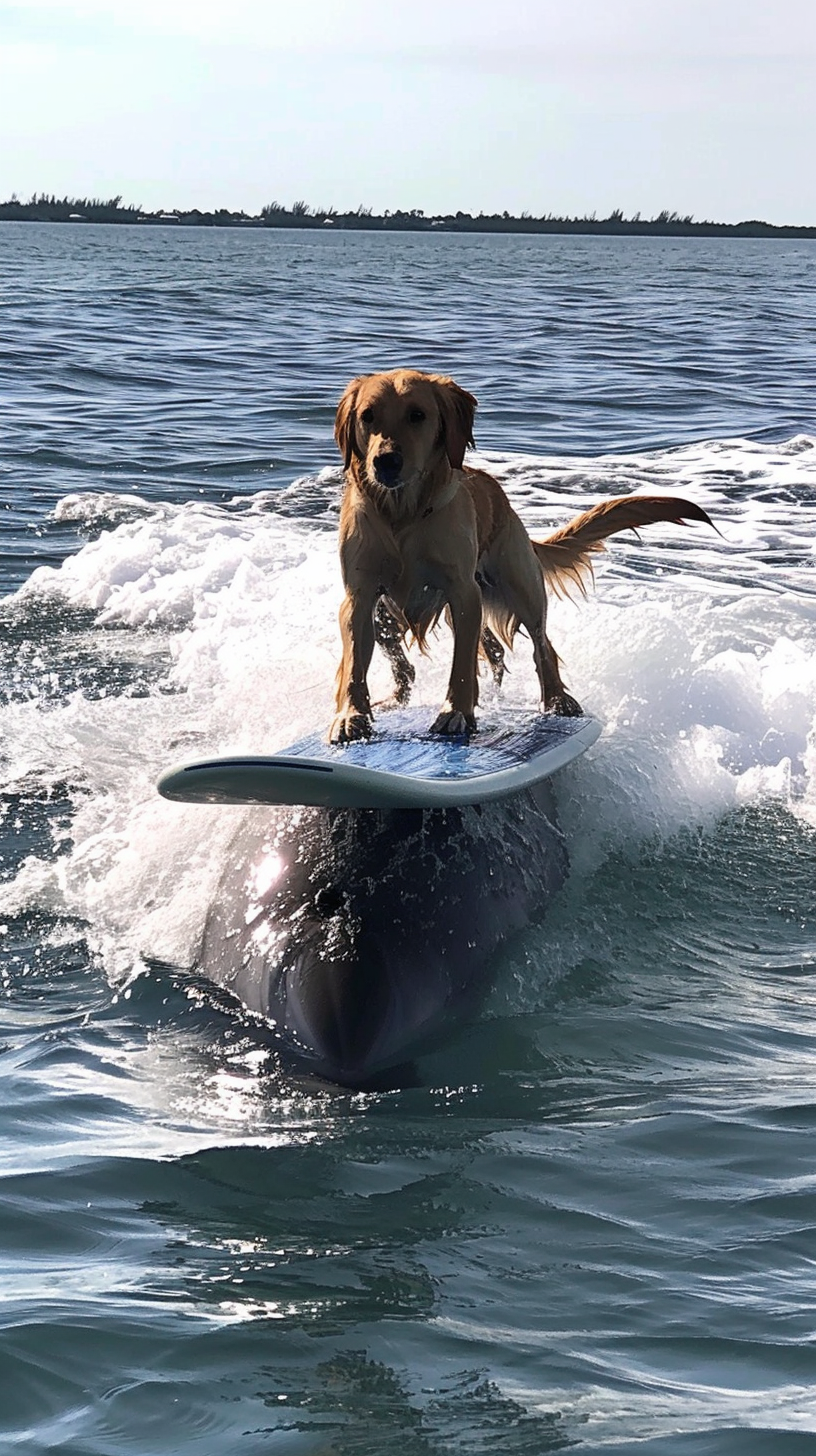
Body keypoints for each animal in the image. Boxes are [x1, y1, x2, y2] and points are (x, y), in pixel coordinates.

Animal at [327, 369, 711, 745]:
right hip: (391, 616)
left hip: (521, 588)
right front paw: (351, 716)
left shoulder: (463, 593)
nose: (386, 462)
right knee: (444, 660)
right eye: (367, 416)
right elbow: (354, 665)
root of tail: (504, 502)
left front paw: (456, 712)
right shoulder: (359, 598)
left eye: (417, 415)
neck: (402, 515)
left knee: (542, 647)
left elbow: (461, 666)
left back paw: (558, 700)